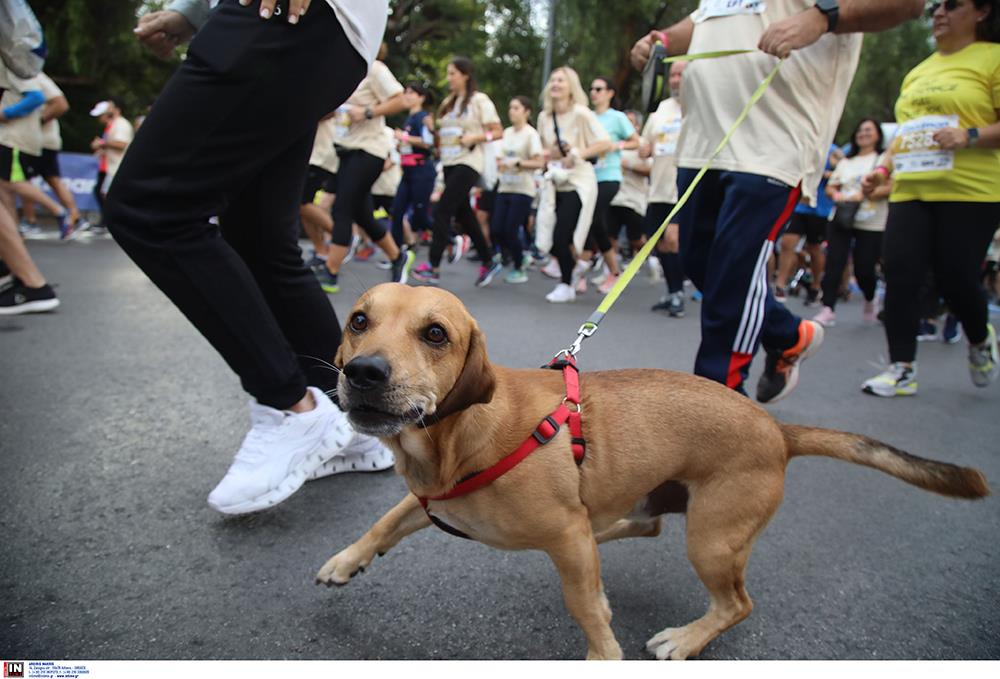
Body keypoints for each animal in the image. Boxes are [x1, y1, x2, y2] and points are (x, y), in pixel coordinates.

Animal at [316, 284, 988, 660]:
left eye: (436, 334)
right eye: (358, 321)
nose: (363, 372)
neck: (453, 438)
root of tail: (777, 430)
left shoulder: (565, 537)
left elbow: (586, 608)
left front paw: (603, 656)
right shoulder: (431, 500)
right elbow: (382, 522)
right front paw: (345, 561)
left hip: (713, 540)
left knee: (736, 604)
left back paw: (686, 640)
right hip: (660, 508)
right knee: (645, 525)